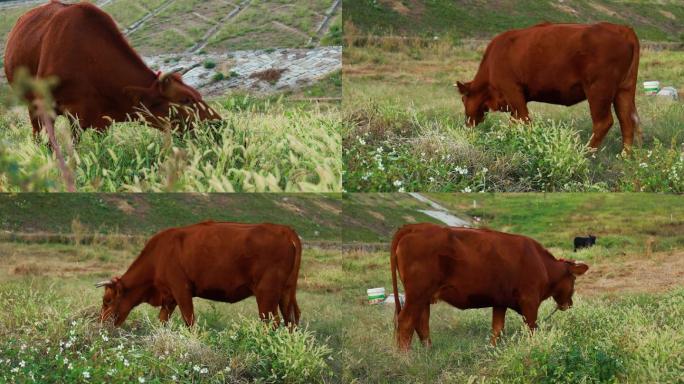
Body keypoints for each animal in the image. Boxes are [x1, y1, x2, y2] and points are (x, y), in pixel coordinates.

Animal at [96, 222, 302, 328]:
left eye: (107, 300)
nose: (100, 324)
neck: (160, 254)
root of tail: (286, 231)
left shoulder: (182, 291)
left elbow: (189, 320)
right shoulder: (169, 298)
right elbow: (162, 321)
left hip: (266, 295)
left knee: (272, 322)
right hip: (286, 293)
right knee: (291, 319)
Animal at [390, 222, 588, 352]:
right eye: (573, 279)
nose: (569, 304)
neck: (543, 264)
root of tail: (417, 226)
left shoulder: (500, 302)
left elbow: (497, 329)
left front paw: (493, 351)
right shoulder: (530, 302)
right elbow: (531, 328)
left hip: (424, 297)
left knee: (422, 324)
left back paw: (428, 352)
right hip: (417, 295)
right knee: (406, 322)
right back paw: (404, 357)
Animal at [454, 22, 640, 148]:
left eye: (463, 100)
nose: (467, 123)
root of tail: (622, 29)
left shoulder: (513, 92)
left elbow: (524, 120)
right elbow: (515, 122)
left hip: (598, 92)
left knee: (603, 122)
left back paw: (585, 153)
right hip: (624, 91)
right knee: (628, 121)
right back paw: (626, 158)